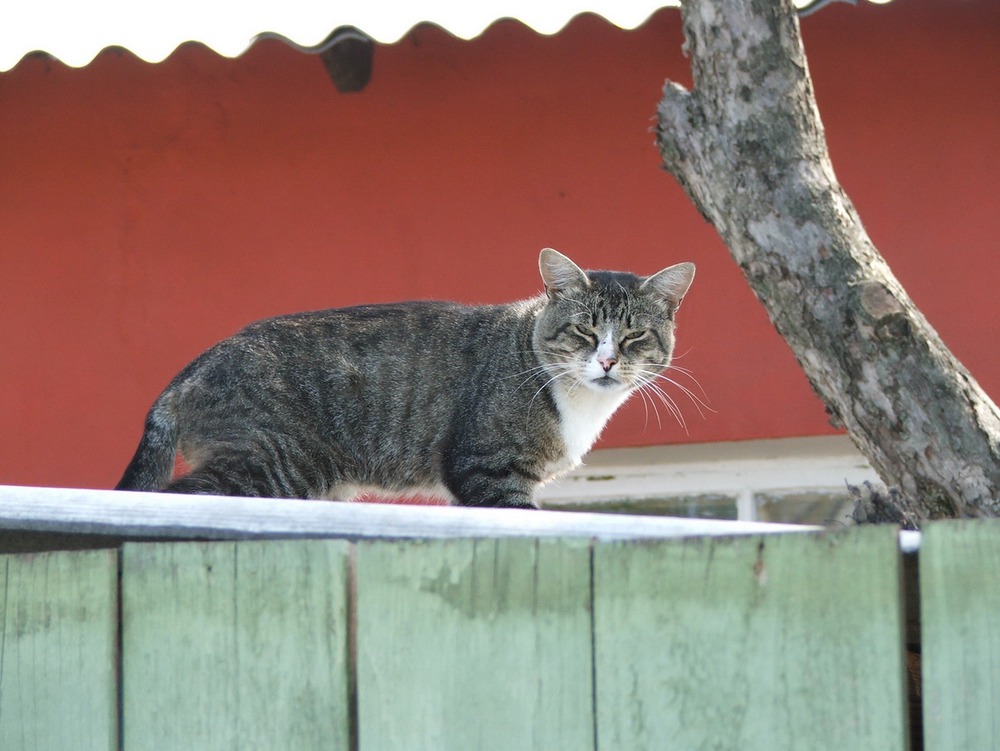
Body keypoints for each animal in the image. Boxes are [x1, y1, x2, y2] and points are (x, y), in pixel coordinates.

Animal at [115, 250, 696, 508]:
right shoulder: (487, 471)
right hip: (271, 465)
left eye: (635, 336)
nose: (607, 361)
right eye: (583, 330)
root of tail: (191, 369)